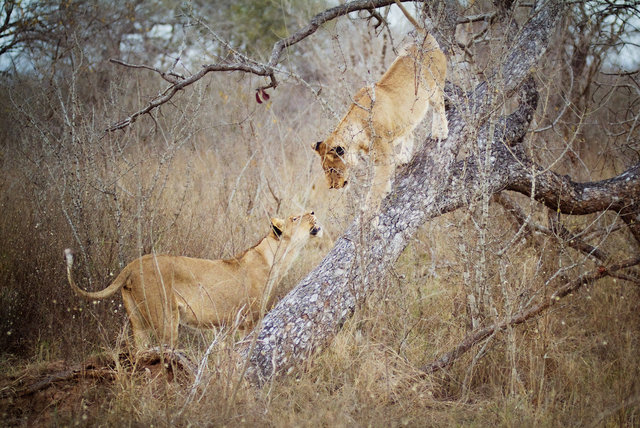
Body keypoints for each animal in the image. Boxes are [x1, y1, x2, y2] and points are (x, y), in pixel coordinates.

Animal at [66, 211, 320, 348]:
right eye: (294, 218)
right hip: (166, 319)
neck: (276, 259)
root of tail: (133, 264)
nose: (313, 212)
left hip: (137, 322)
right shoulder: (248, 319)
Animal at [312, 4, 448, 207]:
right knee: (410, 131)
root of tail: (426, 41)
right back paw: (404, 157)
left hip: (434, 88)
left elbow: (376, 187)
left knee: (439, 107)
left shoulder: (383, 156)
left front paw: (368, 209)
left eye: (332, 170)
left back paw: (441, 132)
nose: (332, 187)